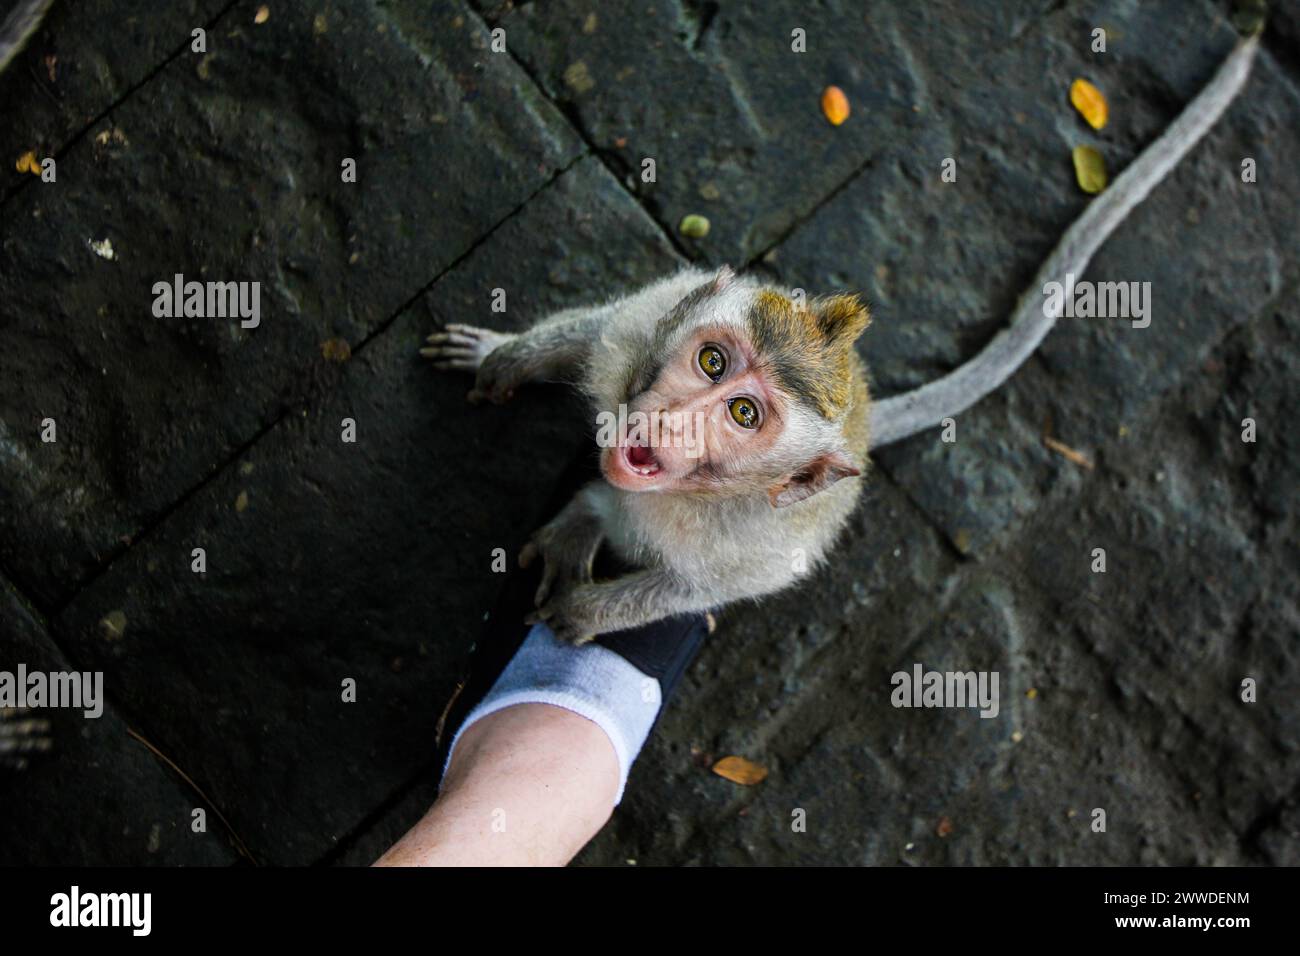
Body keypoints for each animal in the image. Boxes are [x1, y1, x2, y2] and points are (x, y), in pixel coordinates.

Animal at [423, 39, 1258, 650]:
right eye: (712, 362)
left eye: (745, 416)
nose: (671, 421)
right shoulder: (643, 326)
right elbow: (593, 333)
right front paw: (503, 359)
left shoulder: (756, 541)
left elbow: (706, 587)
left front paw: (589, 615)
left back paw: (585, 524)